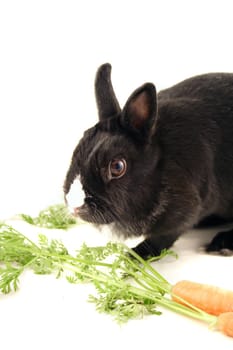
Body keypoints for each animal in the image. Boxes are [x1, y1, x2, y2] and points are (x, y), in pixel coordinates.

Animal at [63, 64, 233, 258]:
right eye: (76, 151)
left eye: (117, 166)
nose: (74, 205)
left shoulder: (186, 208)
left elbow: (161, 239)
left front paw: (132, 258)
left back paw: (220, 245)